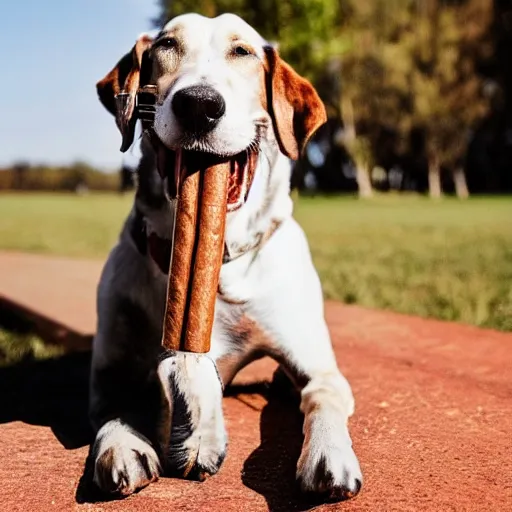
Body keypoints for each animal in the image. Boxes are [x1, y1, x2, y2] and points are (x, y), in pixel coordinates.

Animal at [90, 13, 362, 504]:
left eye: (243, 52)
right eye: (166, 45)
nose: (199, 104)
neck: (220, 264)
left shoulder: (318, 366)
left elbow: (323, 399)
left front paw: (328, 455)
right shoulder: (110, 371)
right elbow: (118, 408)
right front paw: (126, 446)